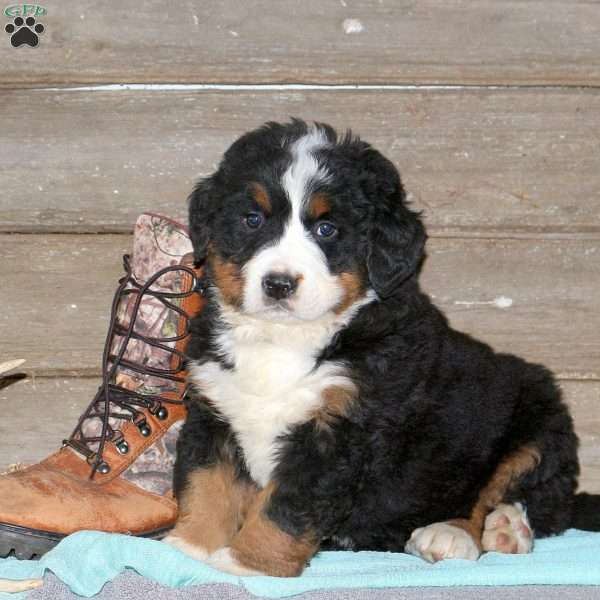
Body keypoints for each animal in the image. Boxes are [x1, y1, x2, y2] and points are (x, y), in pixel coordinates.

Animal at [164, 118, 600, 576]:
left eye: (327, 229)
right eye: (252, 219)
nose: (278, 284)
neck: (283, 339)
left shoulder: (336, 435)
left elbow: (284, 509)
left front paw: (247, 564)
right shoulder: (214, 412)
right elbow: (207, 486)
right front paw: (185, 549)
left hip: (538, 416)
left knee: (522, 496)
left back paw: (475, 532)